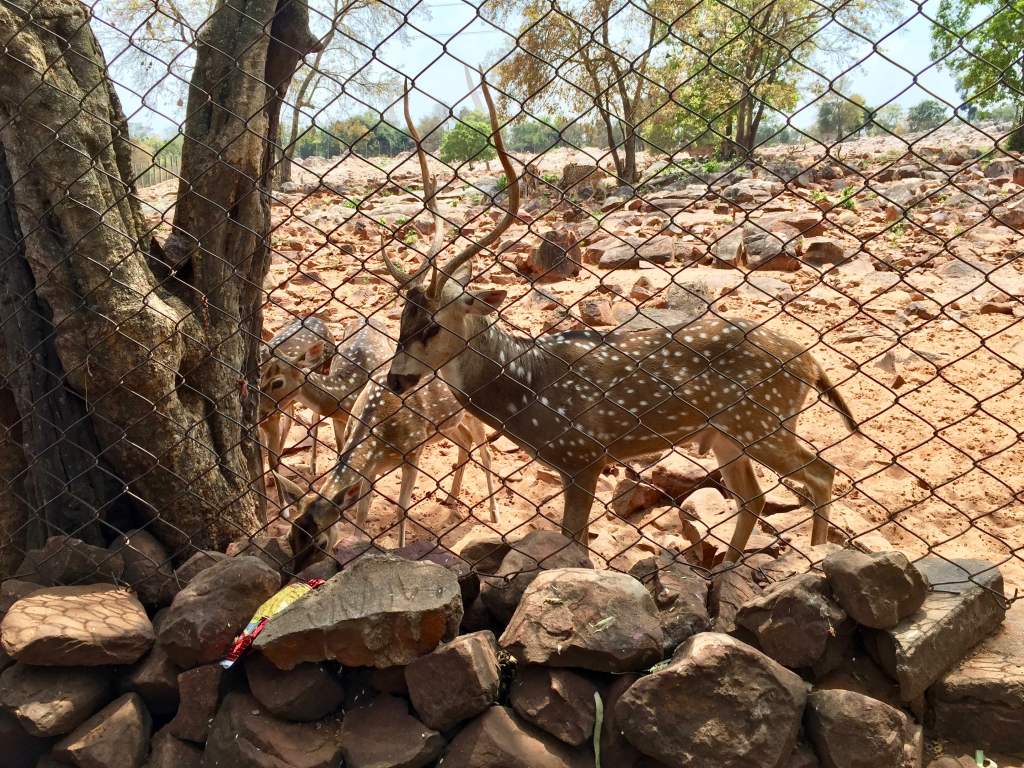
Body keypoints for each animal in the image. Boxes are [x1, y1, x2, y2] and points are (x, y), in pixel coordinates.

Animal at [276, 374, 500, 569]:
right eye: (290, 537)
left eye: (321, 543)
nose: (296, 573)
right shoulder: (370, 470)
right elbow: (362, 511)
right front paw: (356, 549)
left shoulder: (413, 451)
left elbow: (401, 508)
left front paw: (401, 551)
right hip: (447, 423)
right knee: (466, 441)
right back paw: (451, 497)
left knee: (485, 451)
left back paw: (493, 512)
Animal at [381, 74, 859, 561]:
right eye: (401, 319)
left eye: (433, 326)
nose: (395, 379)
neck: (529, 390)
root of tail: (811, 363)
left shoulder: (583, 454)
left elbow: (576, 541)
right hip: (733, 435)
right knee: (755, 497)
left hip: (763, 422)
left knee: (823, 471)